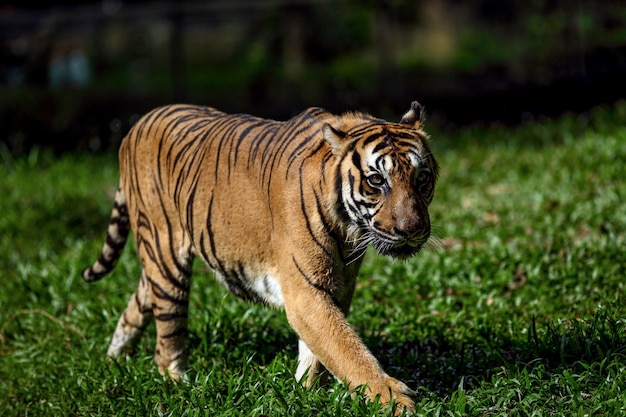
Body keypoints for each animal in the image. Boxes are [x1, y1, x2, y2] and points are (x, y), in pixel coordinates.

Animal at [81, 101, 434, 412]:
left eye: (422, 179)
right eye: (376, 180)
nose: (411, 229)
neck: (350, 229)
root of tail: (138, 124)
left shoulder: (338, 286)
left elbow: (320, 350)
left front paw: (305, 392)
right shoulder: (306, 291)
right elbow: (344, 347)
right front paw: (392, 398)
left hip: (157, 263)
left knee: (140, 301)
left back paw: (112, 361)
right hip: (165, 250)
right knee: (167, 333)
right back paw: (178, 385)